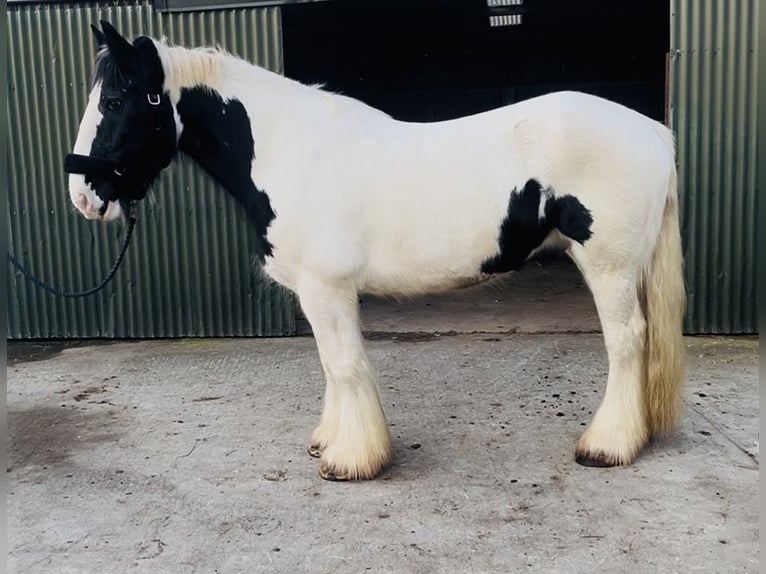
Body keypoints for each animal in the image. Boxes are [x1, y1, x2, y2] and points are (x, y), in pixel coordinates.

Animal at [65, 21, 686, 481]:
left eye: (115, 100)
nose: (82, 196)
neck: (290, 151)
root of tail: (652, 131)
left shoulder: (326, 289)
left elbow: (344, 364)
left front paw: (351, 460)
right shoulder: (322, 294)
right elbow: (332, 365)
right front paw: (330, 442)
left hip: (607, 265)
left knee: (627, 340)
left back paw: (606, 446)